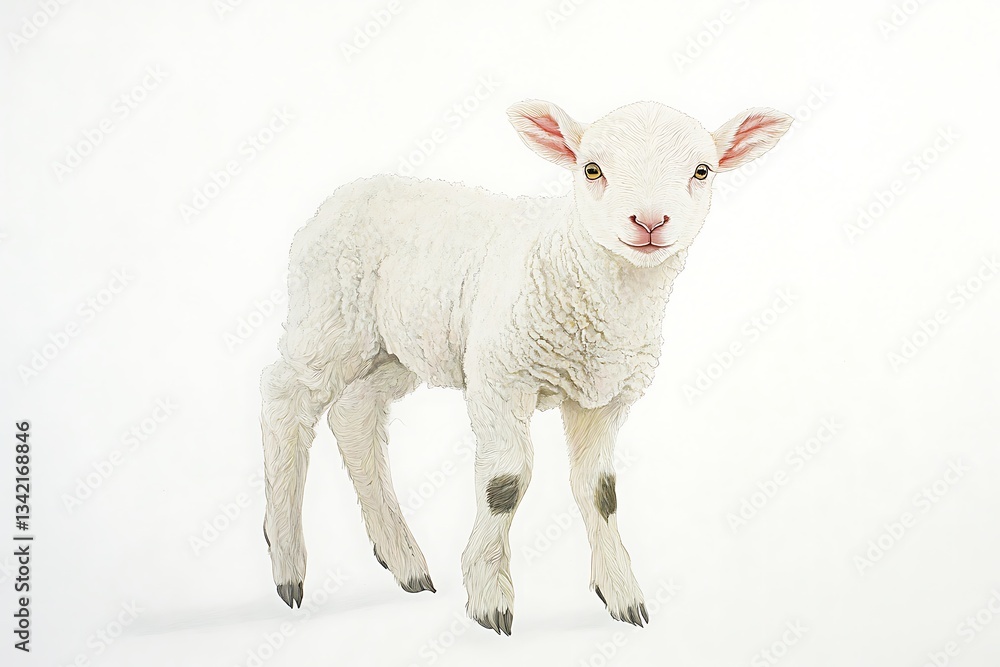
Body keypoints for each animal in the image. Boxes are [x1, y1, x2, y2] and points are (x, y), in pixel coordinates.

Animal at [260, 99, 792, 634]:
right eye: (592, 169)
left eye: (702, 171)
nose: (648, 221)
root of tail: (343, 195)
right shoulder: (500, 376)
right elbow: (506, 482)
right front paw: (489, 595)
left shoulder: (604, 397)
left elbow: (599, 490)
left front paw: (621, 592)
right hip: (331, 315)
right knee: (285, 398)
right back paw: (285, 560)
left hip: (399, 345)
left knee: (355, 415)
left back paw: (403, 559)